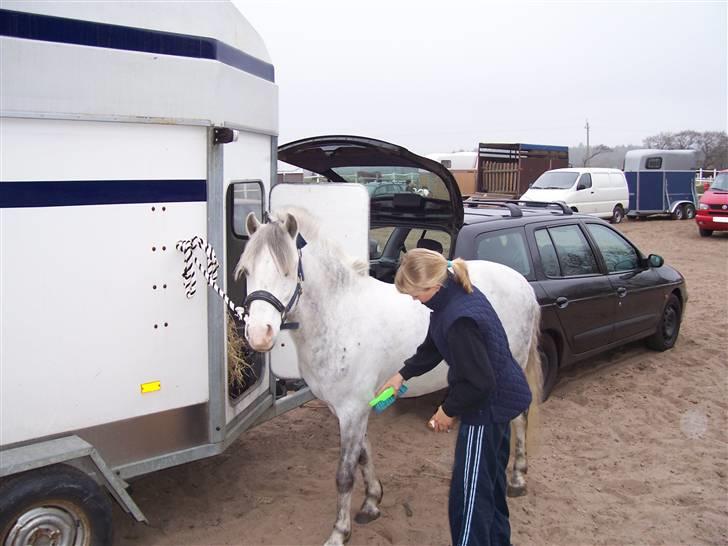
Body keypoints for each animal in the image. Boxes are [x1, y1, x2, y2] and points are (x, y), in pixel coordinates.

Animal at [236, 207, 544, 544]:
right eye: (247, 270)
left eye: (288, 271)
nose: (259, 334)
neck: (341, 315)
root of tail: (522, 283)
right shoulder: (353, 408)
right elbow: (363, 455)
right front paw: (372, 502)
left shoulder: (352, 411)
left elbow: (344, 475)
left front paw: (340, 532)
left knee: (519, 418)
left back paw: (517, 478)